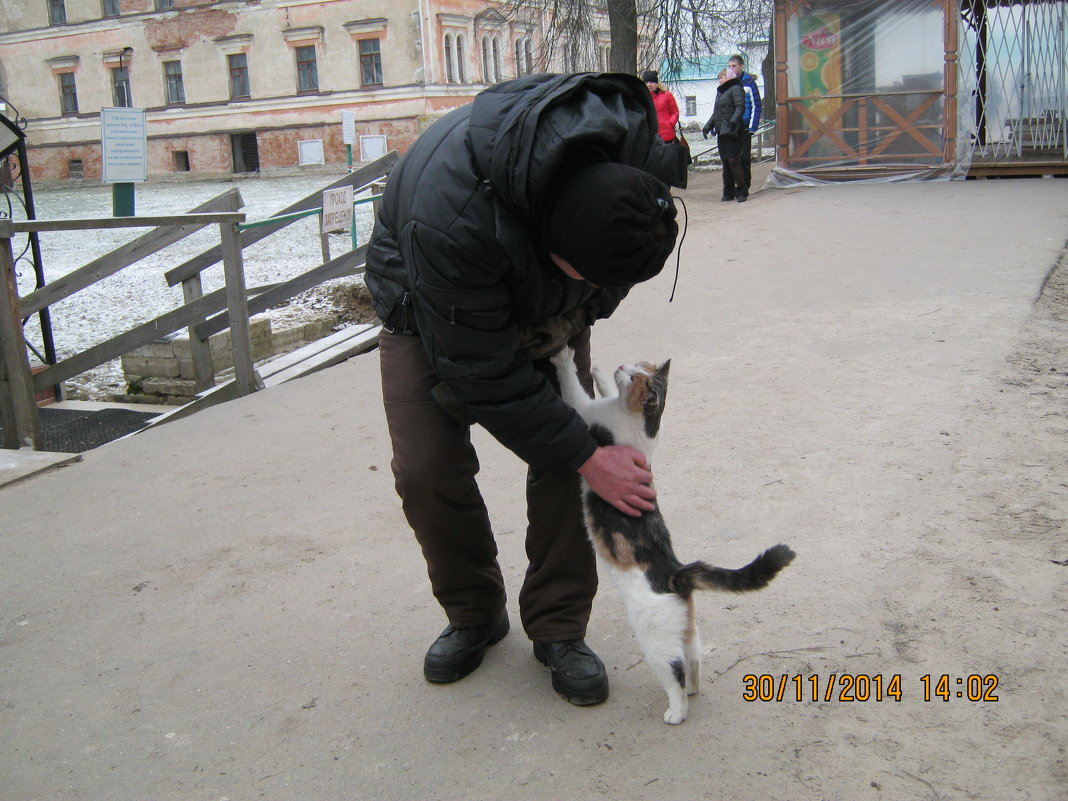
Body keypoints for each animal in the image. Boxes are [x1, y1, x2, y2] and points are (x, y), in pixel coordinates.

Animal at [551, 348, 794, 726]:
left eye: (637, 377)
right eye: (636, 366)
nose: (623, 366)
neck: (642, 427)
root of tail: (675, 574)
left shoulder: (585, 413)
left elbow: (573, 386)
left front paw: (563, 357)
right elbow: (603, 387)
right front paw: (601, 372)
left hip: (655, 641)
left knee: (674, 672)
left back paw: (677, 711)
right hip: (687, 632)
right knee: (694, 659)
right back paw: (694, 689)